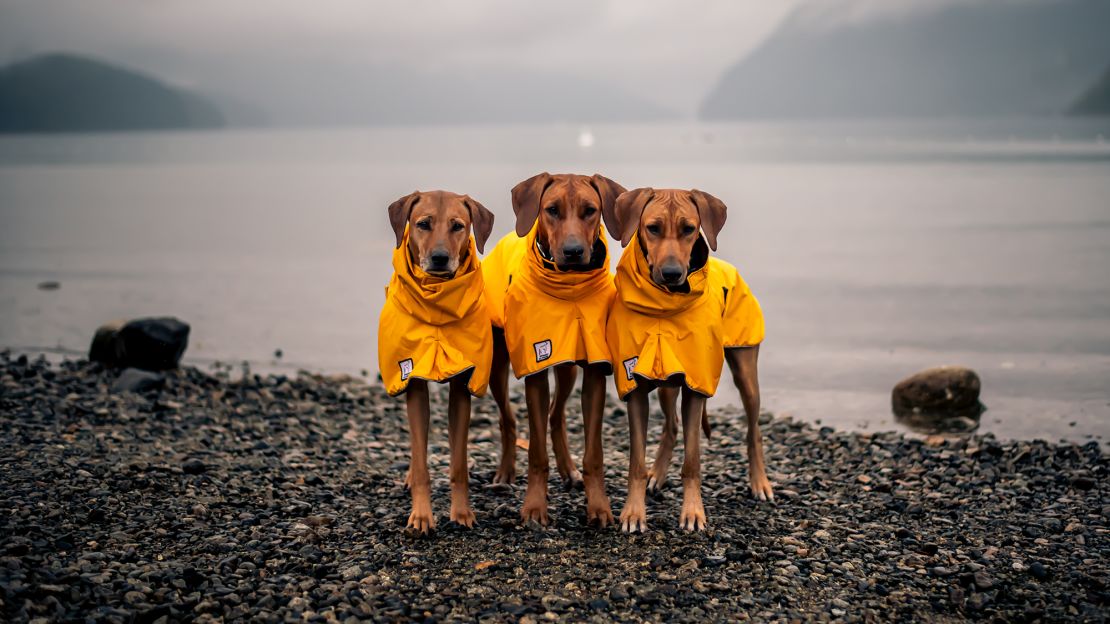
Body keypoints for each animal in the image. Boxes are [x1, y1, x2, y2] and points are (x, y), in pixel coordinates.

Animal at [381, 188, 495, 528]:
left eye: (457, 226)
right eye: (423, 224)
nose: (440, 258)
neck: (438, 299)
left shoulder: (462, 388)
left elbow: (458, 462)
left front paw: (461, 512)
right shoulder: (413, 383)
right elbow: (420, 461)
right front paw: (421, 515)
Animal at [483, 170, 630, 524]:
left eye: (590, 210)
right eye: (551, 209)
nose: (574, 251)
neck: (570, 288)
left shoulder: (594, 371)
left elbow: (594, 453)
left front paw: (599, 506)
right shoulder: (534, 368)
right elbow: (536, 452)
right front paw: (534, 507)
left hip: (566, 370)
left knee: (556, 415)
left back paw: (569, 470)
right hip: (498, 363)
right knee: (508, 418)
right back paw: (505, 473)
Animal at [603, 185, 768, 528]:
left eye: (689, 229)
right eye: (653, 228)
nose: (671, 273)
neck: (665, 305)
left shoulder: (696, 387)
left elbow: (692, 460)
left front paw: (693, 512)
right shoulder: (634, 387)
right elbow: (636, 462)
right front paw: (633, 512)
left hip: (746, 372)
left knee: (754, 430)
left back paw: (760, 483)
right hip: (666, 385)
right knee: (671, 426)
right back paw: (658, 473)